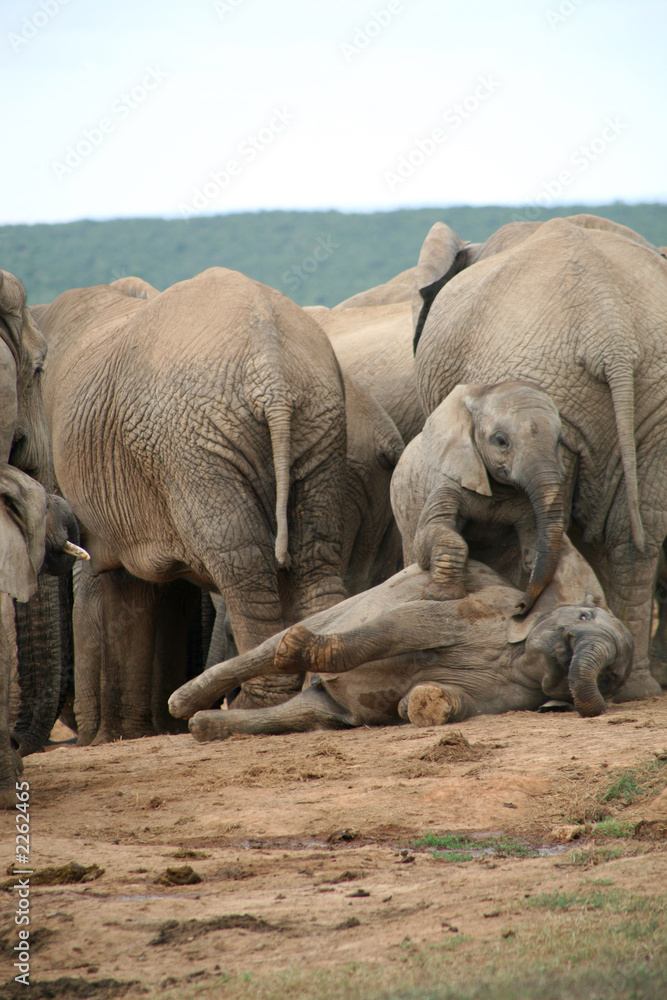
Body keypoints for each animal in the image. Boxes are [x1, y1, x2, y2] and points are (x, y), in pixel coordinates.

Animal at [36, 267, 361, 742]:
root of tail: (272, 369)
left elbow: (118, 586)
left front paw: (121, 736)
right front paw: (135, 733)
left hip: (195, 445)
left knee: (242, 563)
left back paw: (254, 705)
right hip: (318, 420)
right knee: (315, 558)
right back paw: (323, 686)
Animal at [168, 544, 631, 740]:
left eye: (611, 678)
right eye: (583, 616)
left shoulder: (515, 697)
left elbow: (457, 702)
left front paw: (420, 702)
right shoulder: (483, 611)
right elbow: (405, 626)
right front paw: (300, 647)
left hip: (328, 709)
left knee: (304, 716)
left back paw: (204, 727)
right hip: (376, 591)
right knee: (271, 649)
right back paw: (184, 702)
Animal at [390, 381, 564, 615]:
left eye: (559, 441)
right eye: (501, 441)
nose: (519, 606)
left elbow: (534, 542)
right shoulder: (451, 475)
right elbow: (430, 533)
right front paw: (441, 597)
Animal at [411, 213, 667, 702]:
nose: (517, 609)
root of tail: (613, 334)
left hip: (546, 375)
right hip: (645, 397)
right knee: (636, 535)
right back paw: (637, 689)